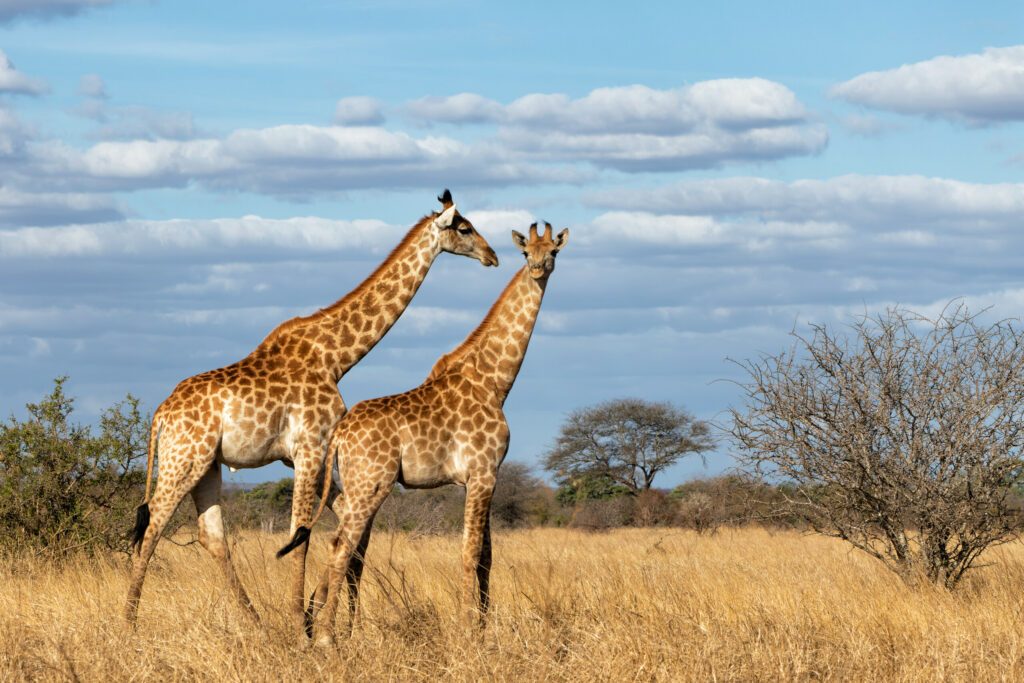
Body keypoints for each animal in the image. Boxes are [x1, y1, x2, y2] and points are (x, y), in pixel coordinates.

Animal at [123, 189, 499, 638]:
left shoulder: (307, 454)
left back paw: (255, 622)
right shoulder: (311, 447)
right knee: (152, 527)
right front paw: (300, 623)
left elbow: (344, 528)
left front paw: (324, 619)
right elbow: (301, 535)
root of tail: (160, 414)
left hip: (207, 465)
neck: (336, 356)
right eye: (465, 228)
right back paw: (127, 624)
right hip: (184, 458)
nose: (492, 255)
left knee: (210, 536)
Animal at [290, 224, 569, 647]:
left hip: (354, 484)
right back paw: (326, 638)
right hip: (372, 484)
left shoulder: (483, 477)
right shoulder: (482, 472)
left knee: (345, 548)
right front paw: (469, 631)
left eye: (553, 250)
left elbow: (486, 557)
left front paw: (483, 628)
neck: (493, 381)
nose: (538, 268)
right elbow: (470, 554)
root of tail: (339, 434)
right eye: (526, 253)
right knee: (341, 546)